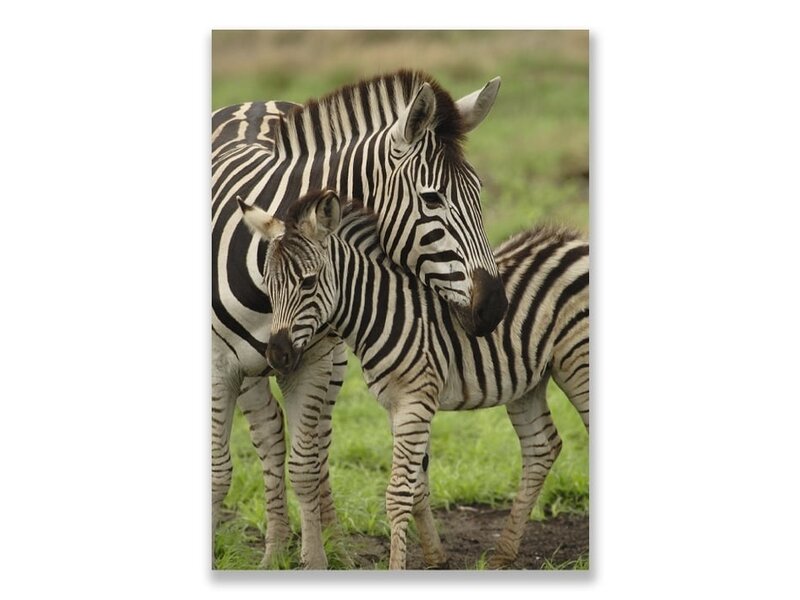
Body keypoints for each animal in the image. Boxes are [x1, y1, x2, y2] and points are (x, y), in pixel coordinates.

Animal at [212, 71, 508, 568]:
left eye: (479, 192)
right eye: (432, 198)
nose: (496, 308)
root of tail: (252, 102)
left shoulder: (310, 361)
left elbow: (305, 466)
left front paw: (317, 557)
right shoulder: (218, 368)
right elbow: (218, 472)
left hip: (328, 360)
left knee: (311, 444)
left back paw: (319, 543)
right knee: (268, 435)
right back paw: (273, 550)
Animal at [239, 189, 589, 569]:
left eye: (308, 282)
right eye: (268, 285)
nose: (277, 356)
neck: (383, 311)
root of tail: (577, 241)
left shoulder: (415, 402)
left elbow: (397, 493)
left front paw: (397, 566)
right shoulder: (396, 405)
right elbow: (416, 486)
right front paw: (435, 556)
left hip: (577, 362)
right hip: (527, 380)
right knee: (542, 446)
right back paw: (503, 553)